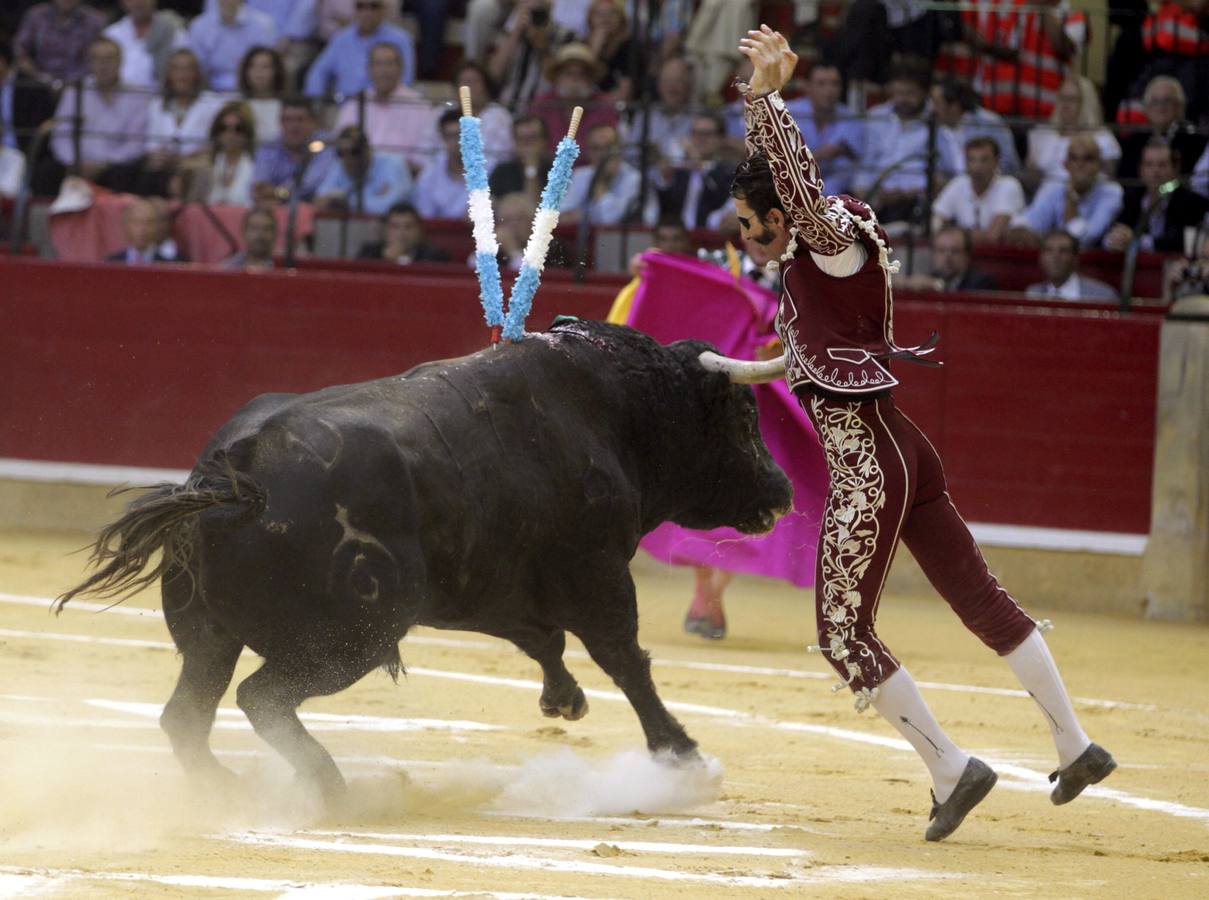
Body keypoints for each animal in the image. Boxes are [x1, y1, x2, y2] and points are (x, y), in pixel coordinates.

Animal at [61, 321, 793, 803]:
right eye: (742, 417)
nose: (783, 491)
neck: (612, 412)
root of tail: (235, 475)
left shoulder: (489, 583)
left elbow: (545, 640)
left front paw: (564, 700)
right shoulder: (598, 572)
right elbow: (623, 658)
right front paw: (682, 755)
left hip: (209, 635)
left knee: (188, 713)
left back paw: (230, 789)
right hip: (351, 639)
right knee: (260, 698)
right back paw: (330, 787)